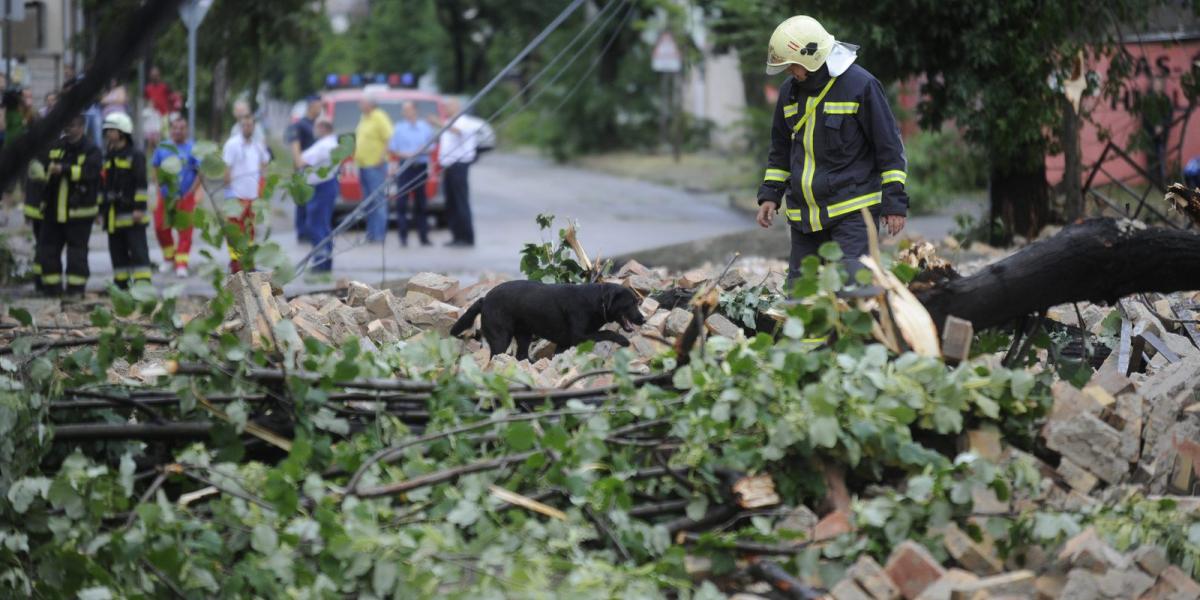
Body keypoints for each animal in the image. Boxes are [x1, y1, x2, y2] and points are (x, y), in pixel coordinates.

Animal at [451, 279, 648, 357]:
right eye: (630, 304)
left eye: (637, 302)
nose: (643, 320)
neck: (596, 302)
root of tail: (484, 299)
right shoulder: (579, 336)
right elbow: (607, 332)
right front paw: (623, 340)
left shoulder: (564, 343)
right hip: (501, 338)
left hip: (524, 336)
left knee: (521, 356)